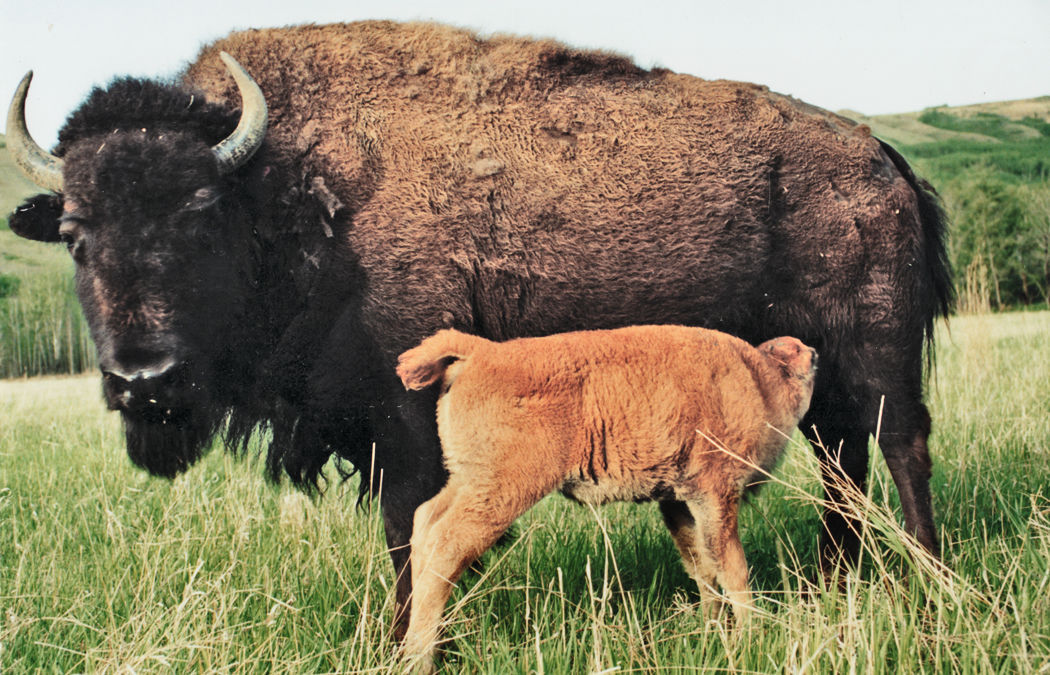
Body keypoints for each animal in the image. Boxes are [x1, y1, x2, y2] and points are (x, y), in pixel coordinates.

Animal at [6, 21, 951, 637]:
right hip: (814, 366)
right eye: (76, 232)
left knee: (900, 447)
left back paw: (929, 582)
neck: (288, 189)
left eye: (200, 214)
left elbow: (406, 529)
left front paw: (406, 635)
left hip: (878, 350)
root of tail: (877, 154)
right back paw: (835, 582)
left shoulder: (404, 425)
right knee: (843, 463)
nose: (144, 380)